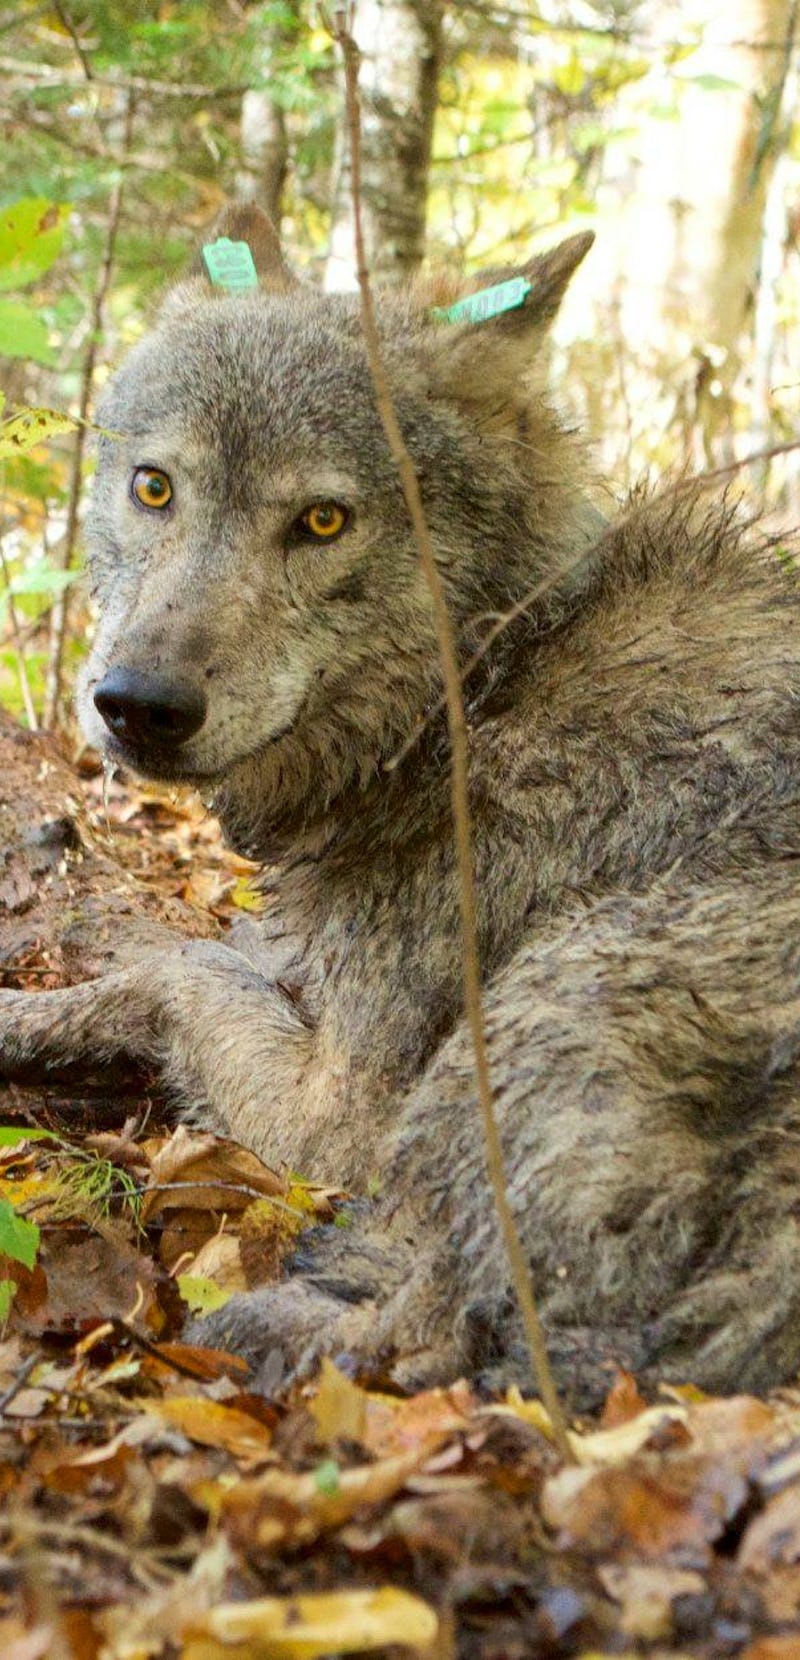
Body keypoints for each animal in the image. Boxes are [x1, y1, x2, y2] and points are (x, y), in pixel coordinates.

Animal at [1, 200, 800, 1407]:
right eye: (154, 487)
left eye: (323, 521)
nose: (137, 704)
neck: (490, 678)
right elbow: (211, 948)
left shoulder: (336, 1113)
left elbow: (175, 967)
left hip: (563, 985)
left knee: (430, 1332)